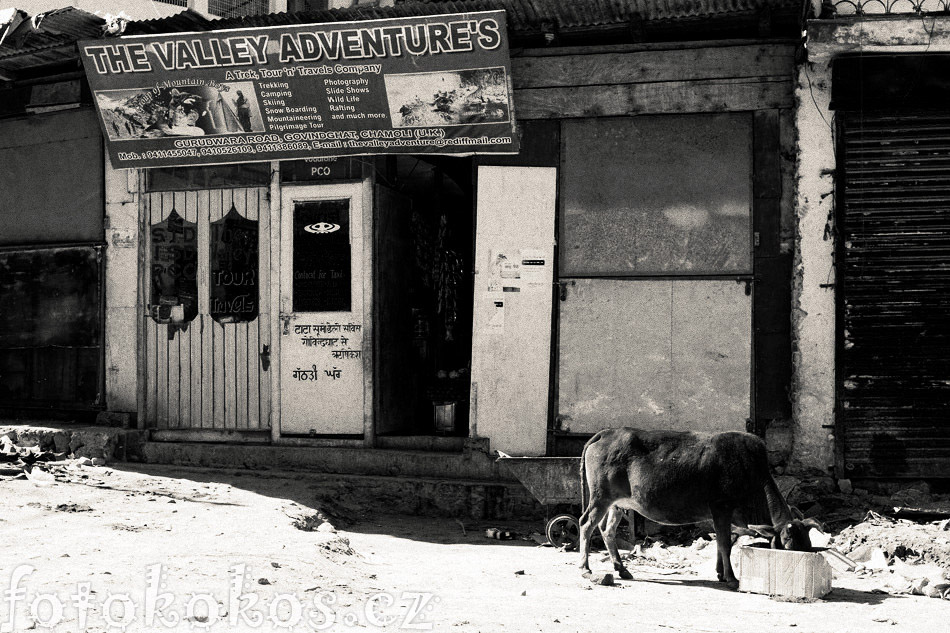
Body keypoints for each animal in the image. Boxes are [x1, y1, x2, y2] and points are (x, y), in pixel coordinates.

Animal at [576, 428, 820, 584]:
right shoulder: (721, 507)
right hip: (600, 496)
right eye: (787, 543)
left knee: (606, 530)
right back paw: (586, 568)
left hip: (618, 503)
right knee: (586, 524)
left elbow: (723, 543)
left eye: (808, 543)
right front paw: (731, 578)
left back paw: (621, 569)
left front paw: (720, 573)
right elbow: (724, 543)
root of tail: (606, 433)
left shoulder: (722, 517)